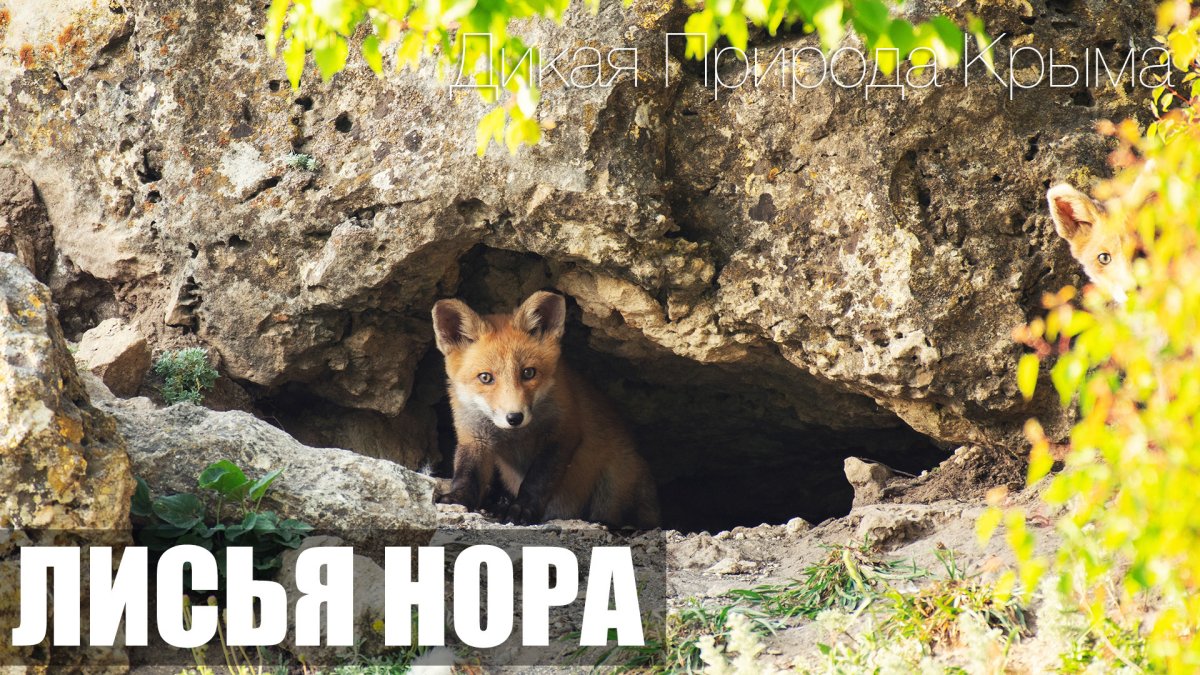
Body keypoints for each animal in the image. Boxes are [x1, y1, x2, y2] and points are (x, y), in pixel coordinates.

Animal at [430, 290, 660, 529]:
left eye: (528, 373)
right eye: (485, 377)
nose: (515, 417)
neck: (516, 436)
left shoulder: (562, 431)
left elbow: (537, 480)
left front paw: (521, 509)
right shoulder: (474, 435)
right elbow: (467, 474)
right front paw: (457, 498)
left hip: (614, 482)